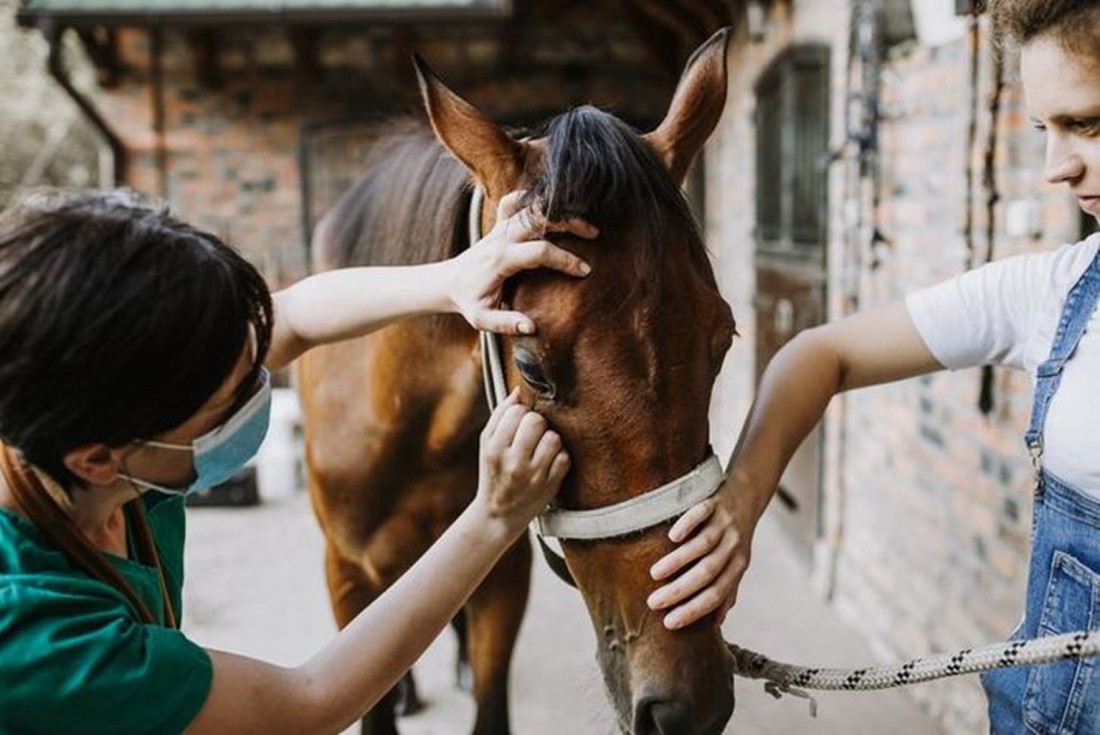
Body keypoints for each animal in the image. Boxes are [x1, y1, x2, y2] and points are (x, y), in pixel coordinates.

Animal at [297, 28, 734, 735]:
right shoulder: (345, 575)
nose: (688, 706)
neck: (408, 424)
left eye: (723, 338)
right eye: (532, 369)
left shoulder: (503, 570)